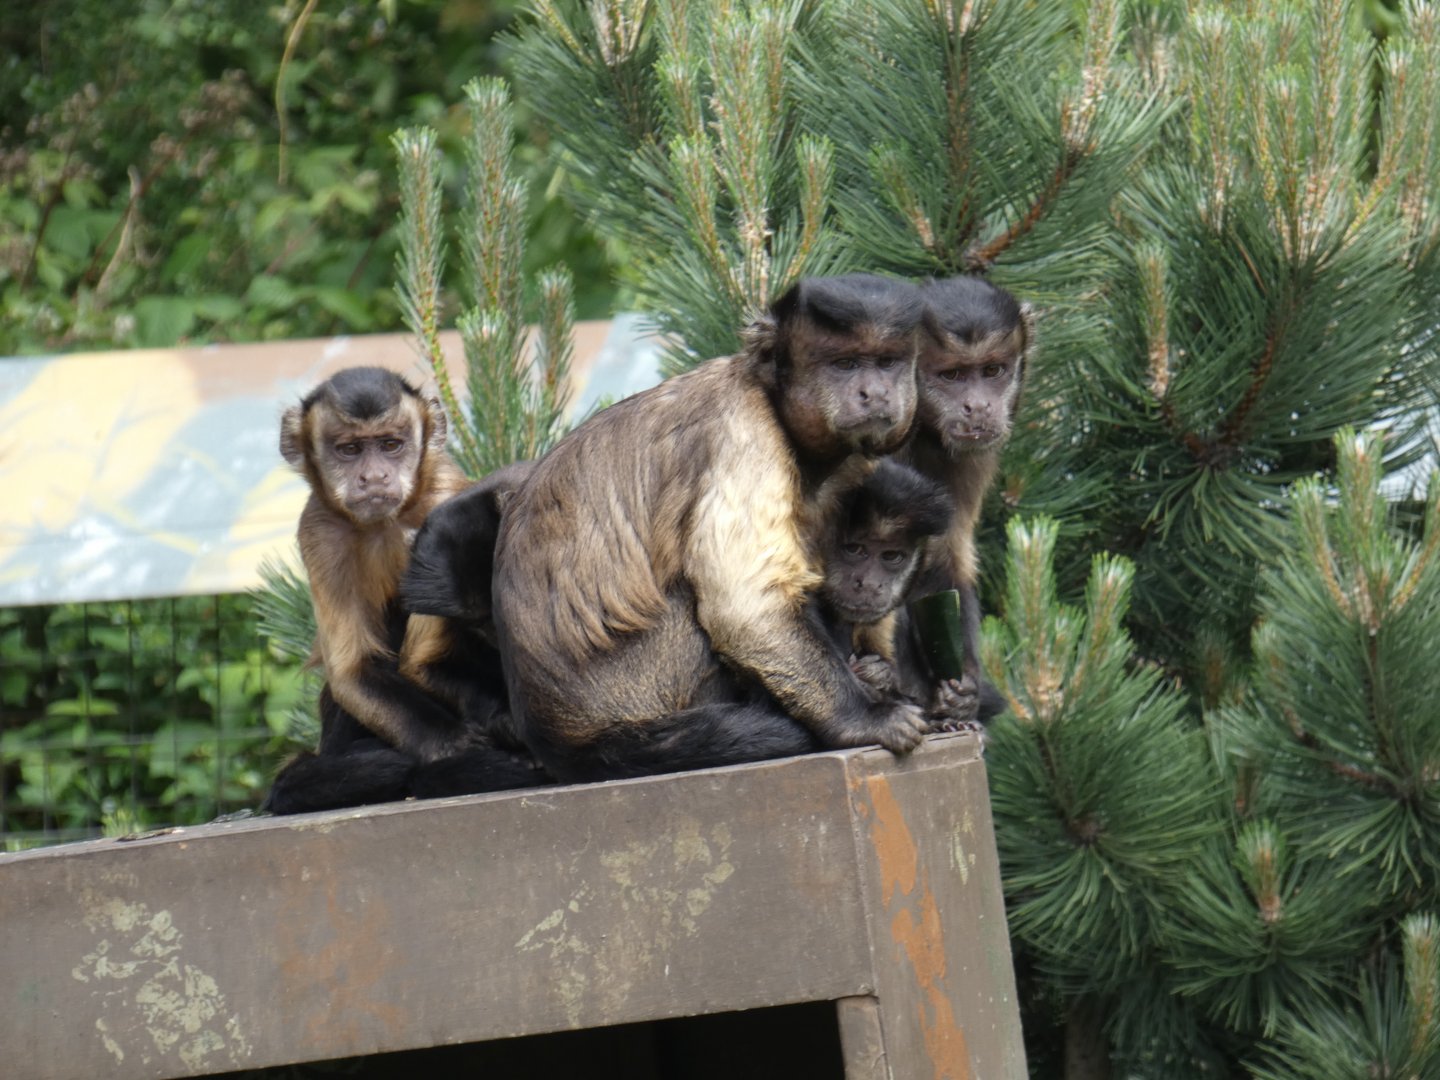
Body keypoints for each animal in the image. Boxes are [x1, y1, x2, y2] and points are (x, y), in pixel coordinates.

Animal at [490, 274, 930, 783]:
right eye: (846, 365)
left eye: (887, 364)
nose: (874, 393)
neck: (771, 398)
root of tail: (558, 739)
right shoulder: (746, 434)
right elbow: (744, 607)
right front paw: (862, 718)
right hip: (636, 686)